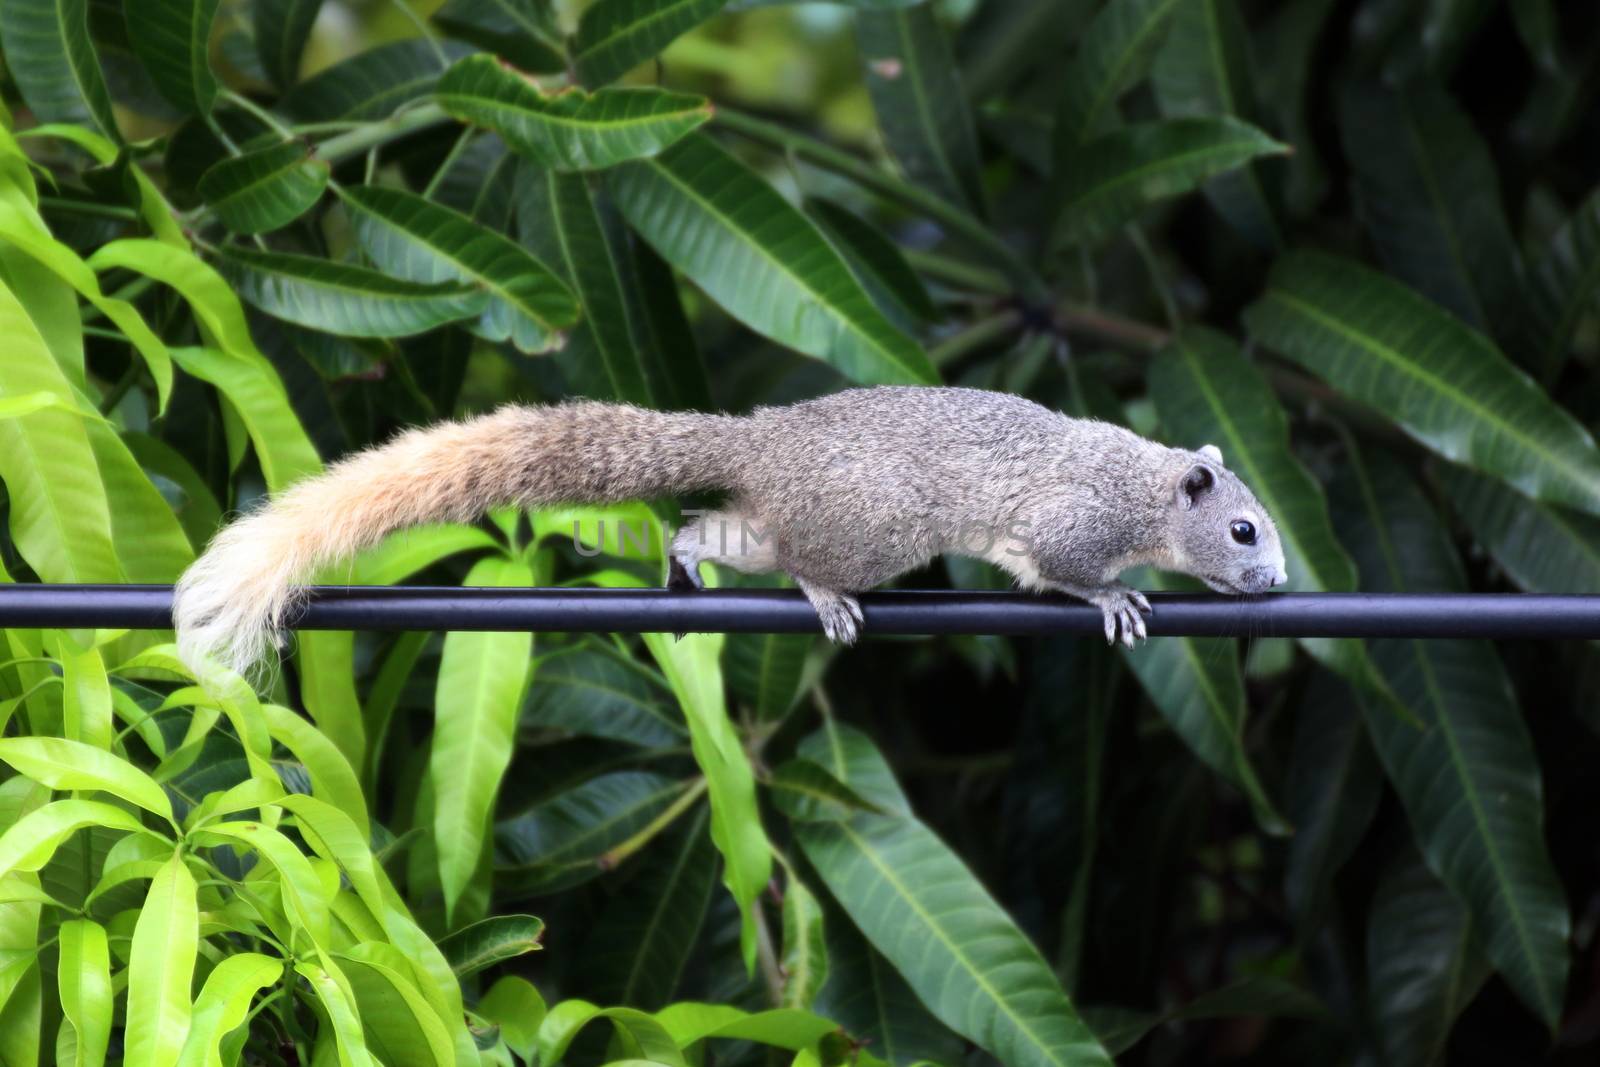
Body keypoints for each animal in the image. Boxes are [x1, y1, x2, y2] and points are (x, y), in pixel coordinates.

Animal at [172, 383, 1286, 671]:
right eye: (1243, 531)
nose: (1275, 583)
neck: (1143, 486)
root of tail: (764, 441)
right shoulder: (1072, 519)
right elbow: (1066, 569)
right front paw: (1117, 599)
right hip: (870, 528)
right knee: (797, 557)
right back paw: (825, 597)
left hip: (779, 523)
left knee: (715, 531)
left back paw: (682, 568)